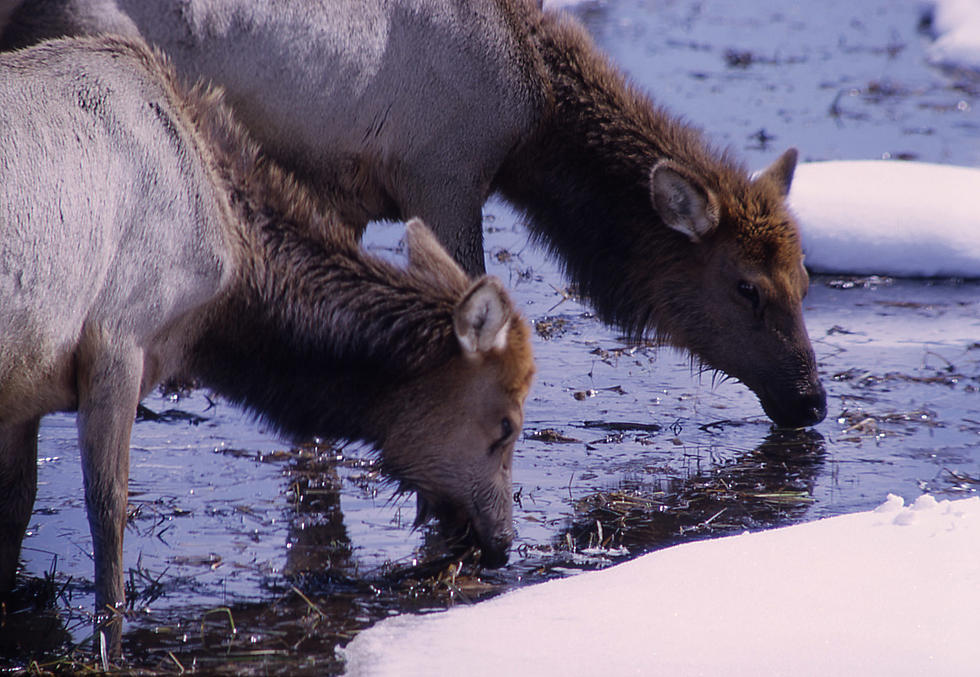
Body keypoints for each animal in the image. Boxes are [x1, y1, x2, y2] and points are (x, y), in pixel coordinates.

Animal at [0, 37, 536, 616]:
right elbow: (108, 512)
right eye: (506, 426)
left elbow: (17, 506)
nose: (504, 543)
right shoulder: (119, 340)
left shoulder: (24, 389)